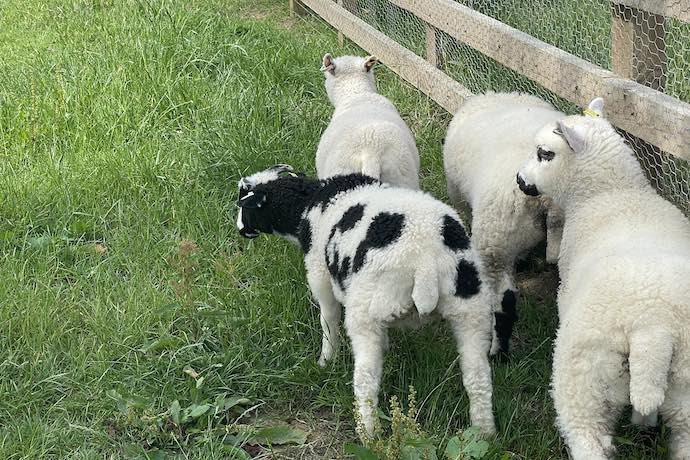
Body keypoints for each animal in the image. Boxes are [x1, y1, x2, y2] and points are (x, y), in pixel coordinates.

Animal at [236, 164, 496, 438]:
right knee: (478, 376)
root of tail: (426, 263)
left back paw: (368, 432)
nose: (240, 229)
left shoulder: (318, 272)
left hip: (366, 311)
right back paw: (484, 432)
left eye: (243, 202)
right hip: (471, 309)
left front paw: (325, 360)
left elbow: (328, 318)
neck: (307, 205)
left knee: (366, 378)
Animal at [517, 98, 690, 460]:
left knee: (586, 437)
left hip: (585, 377)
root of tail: (653, 327)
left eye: (545, 153)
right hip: (685, 389)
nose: (520, 180)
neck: (609, 192)